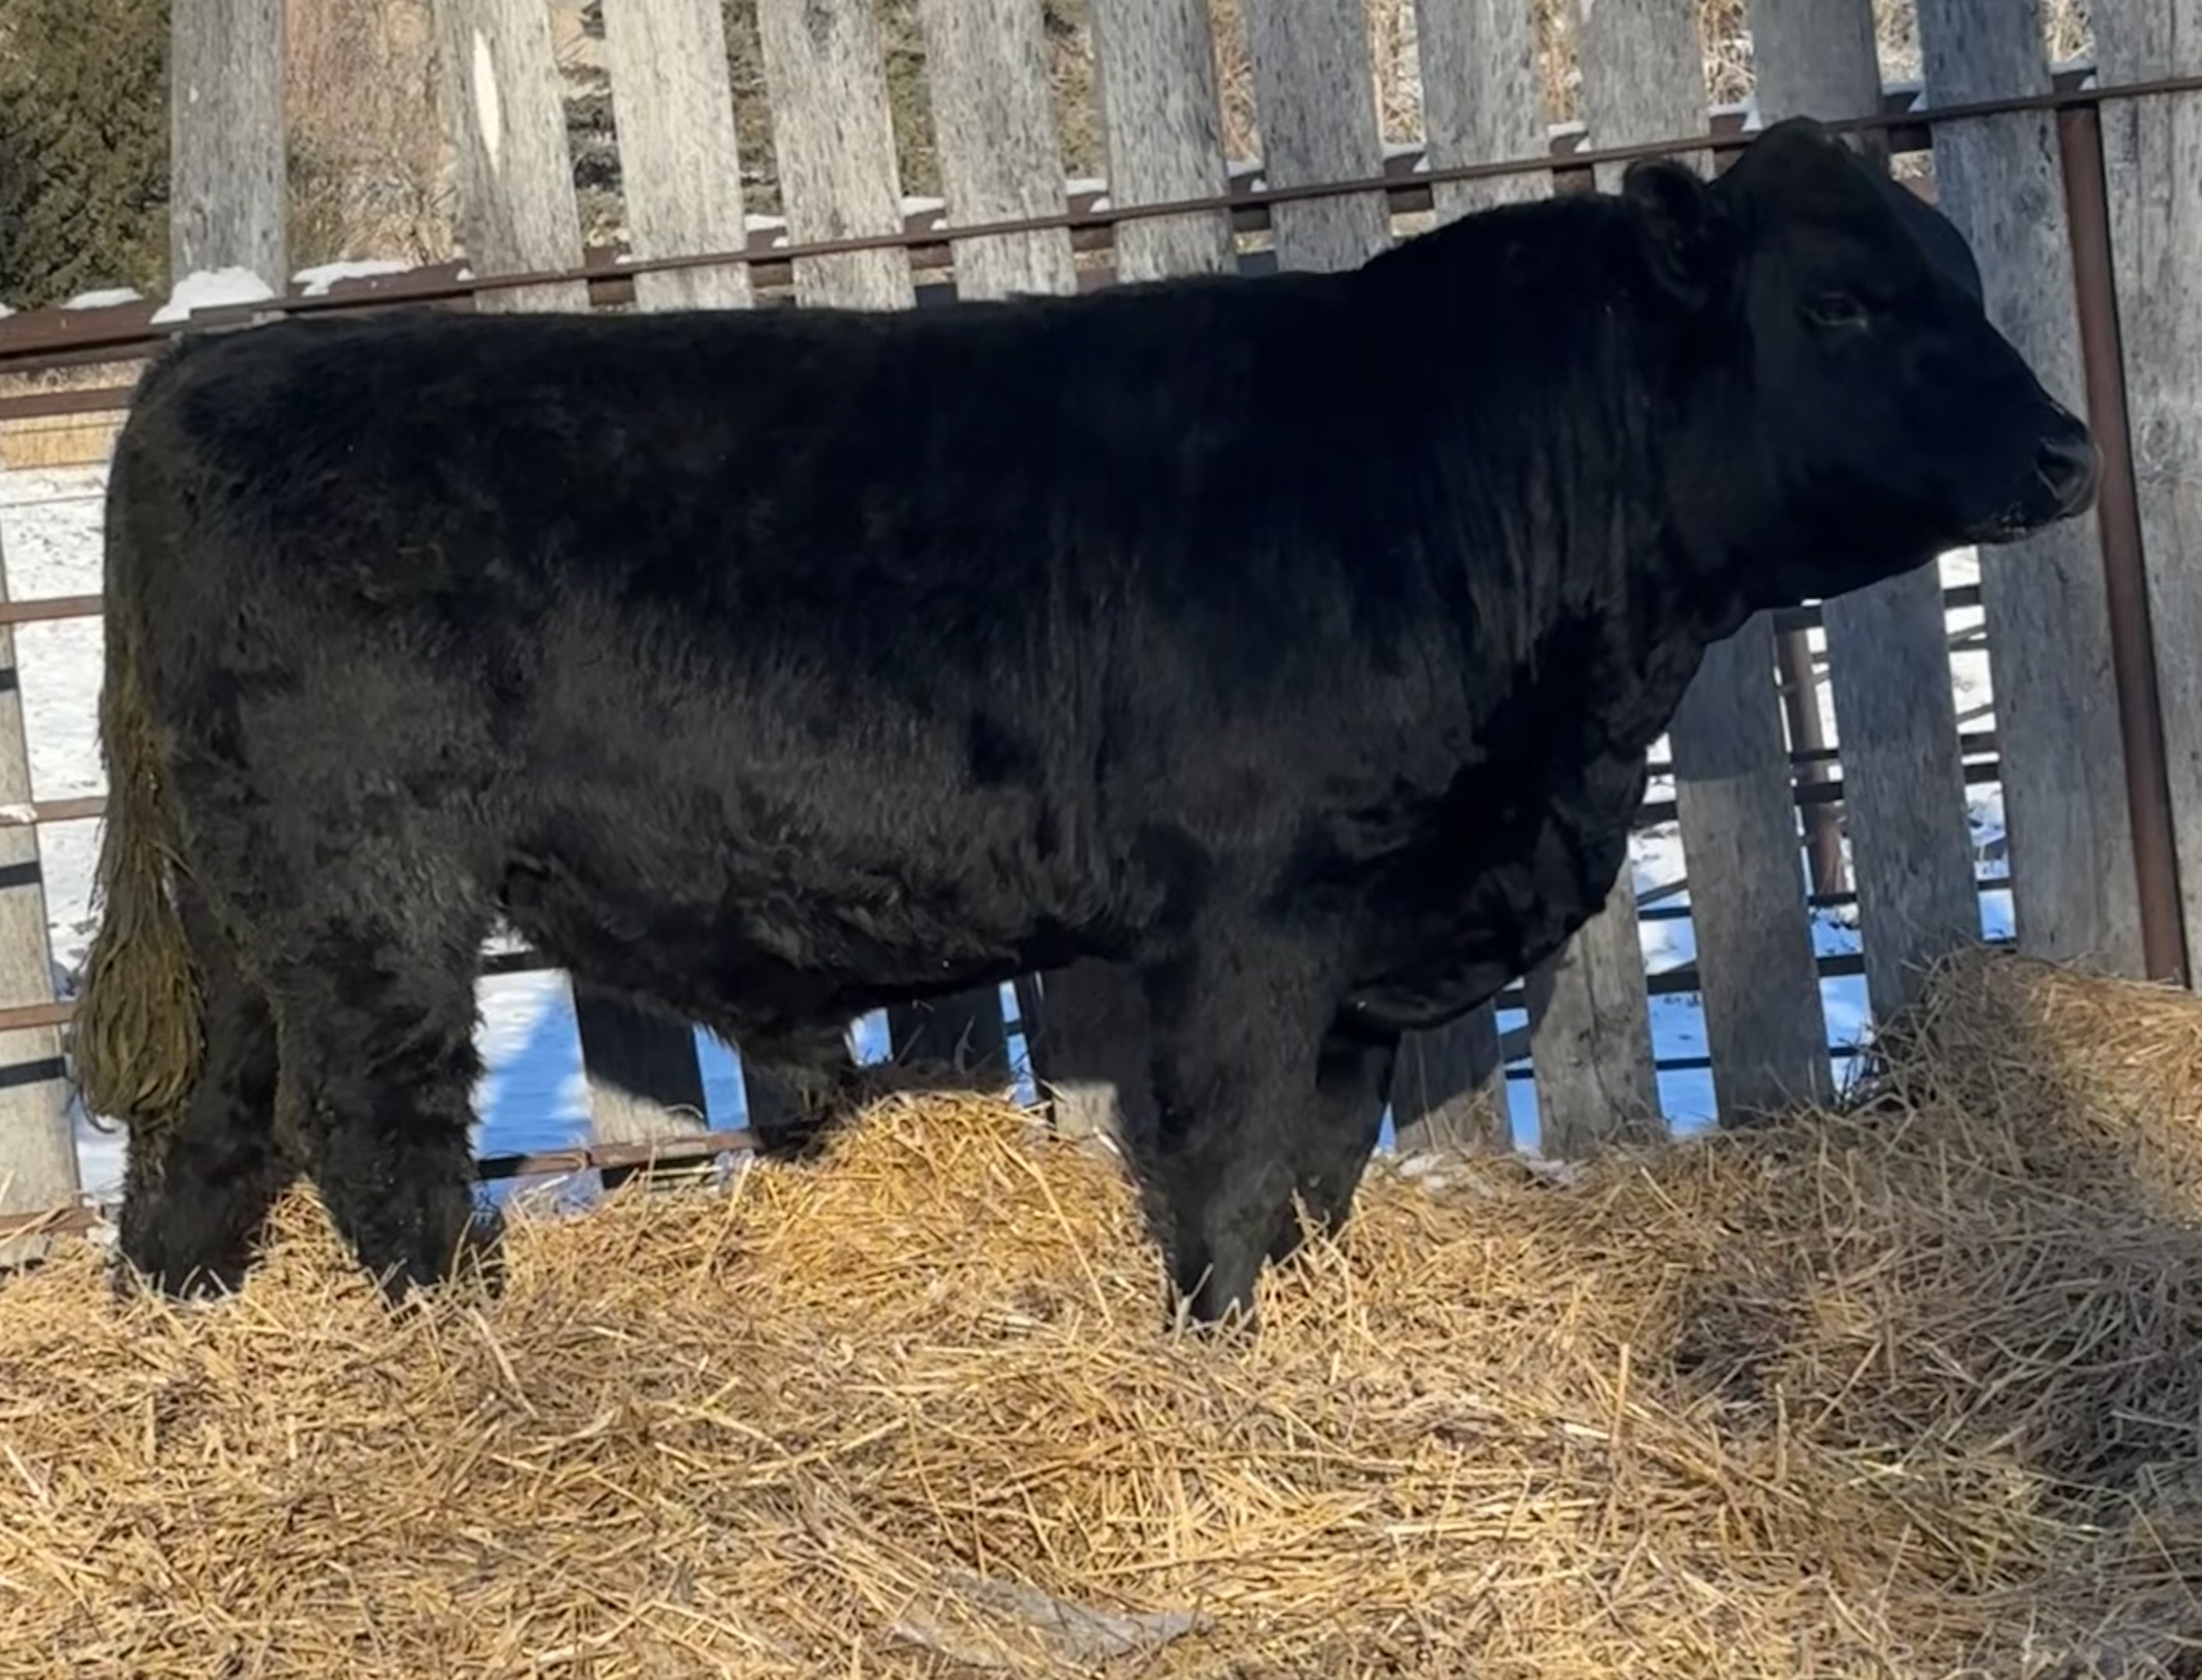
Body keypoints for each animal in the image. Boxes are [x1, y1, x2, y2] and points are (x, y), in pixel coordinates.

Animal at [73, 116, 2097, 1328]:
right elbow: (1233, 1154)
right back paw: (469, 1342)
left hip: (249, 897)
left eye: (1961, 277)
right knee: (373, 1121)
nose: (2070, 452)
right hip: (366, 878)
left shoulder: (1368, 936)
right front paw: (1215, 1341)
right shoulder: (1246, 916)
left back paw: (177, 1310)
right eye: (1839, 303)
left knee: (208, 1112)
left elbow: (1321, 1160)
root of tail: (209, 371)